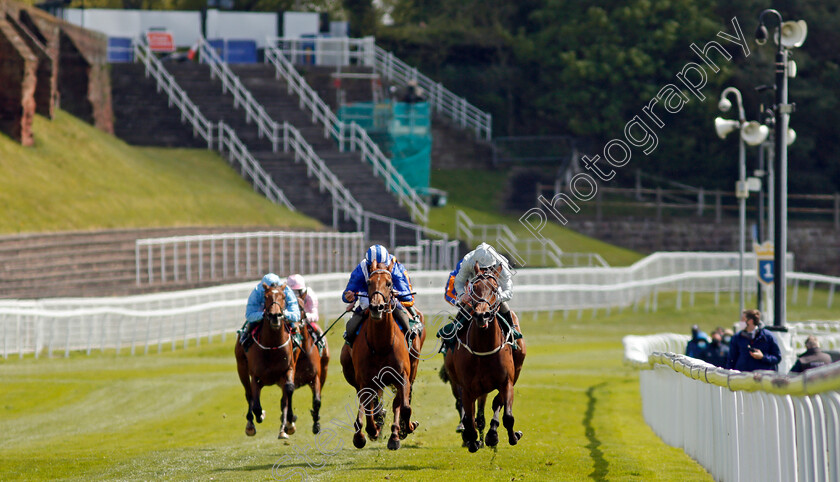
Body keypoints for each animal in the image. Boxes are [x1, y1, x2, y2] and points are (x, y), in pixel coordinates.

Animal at [235, 284, 296, 438]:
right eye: (266, 297)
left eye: (284, 297)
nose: (275, 316)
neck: (272, 346)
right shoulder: (255, 376)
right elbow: (256, 405)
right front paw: (260, 415)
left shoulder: (289, 368)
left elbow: (289, 390)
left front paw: (289, 422)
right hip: (241, 368)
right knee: (249, 394)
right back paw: (251, 424)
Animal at [288, 298, 330, 436]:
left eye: (301, 307)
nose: (293, 327)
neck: (302, 353)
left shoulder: (314, 377)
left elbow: (317, 401)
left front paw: (316, 424)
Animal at [338, 258, 424, 450]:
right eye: (369, 282)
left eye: (389, 283)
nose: (377, 307)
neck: (381, 345)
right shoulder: (364, 379)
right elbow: (369, 408)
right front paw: (370, 431)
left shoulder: (402, 376)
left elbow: (404, 407)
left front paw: (405, 429)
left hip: (413, 367)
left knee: (399, 402)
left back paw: (395, 434)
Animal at [442, 262, 528, 450]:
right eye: (474, 288)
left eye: (495, 288)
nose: (482, 315)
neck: (483, 349)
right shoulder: (467, 388)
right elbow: (469, 418)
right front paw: (472, 439)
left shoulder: (507, 381)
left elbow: (507, 415)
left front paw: (511, 436)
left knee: (495, 404)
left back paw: (491, 434)